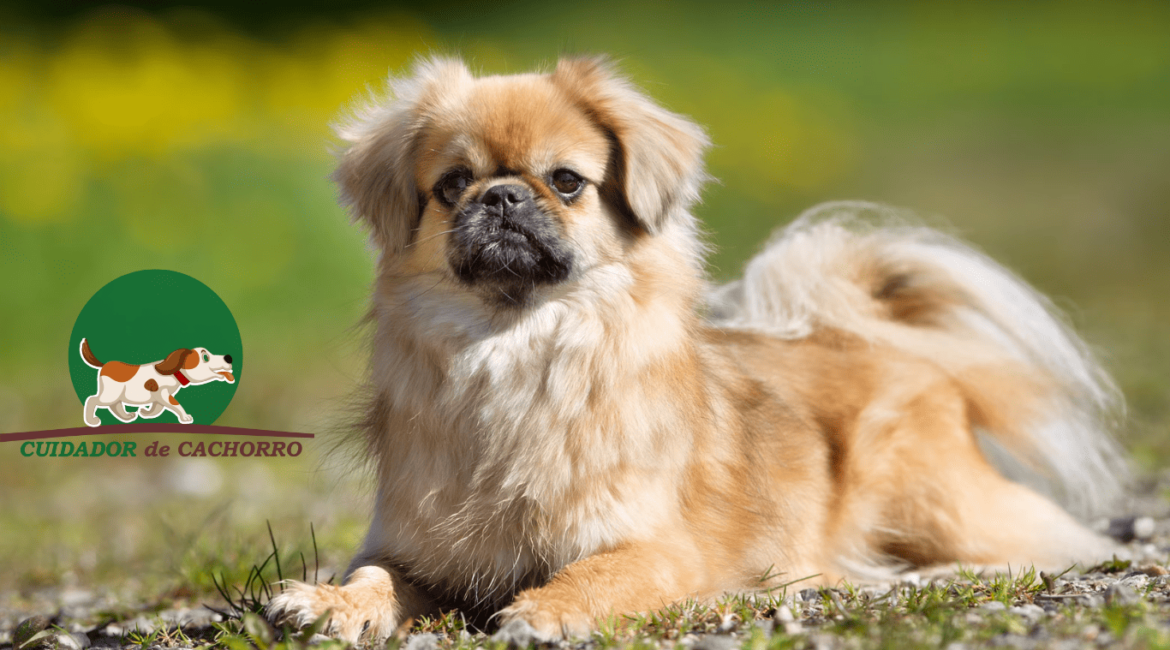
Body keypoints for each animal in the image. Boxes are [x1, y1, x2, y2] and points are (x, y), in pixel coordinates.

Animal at [78, 341, 233, 425]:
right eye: (205, 357)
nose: (229, 357)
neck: (175, 372)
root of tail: (105, 365)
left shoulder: (159, 397)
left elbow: (156, 408)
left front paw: (146, 413)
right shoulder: (163, 393)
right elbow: (176, 404)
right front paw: (185, 417)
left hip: (116, 393)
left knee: (115, 406)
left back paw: (126, 417)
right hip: (110, 393)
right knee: (93, 400)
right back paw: (92, 421)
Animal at [265, 58, 1123, 640]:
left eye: (566, 181)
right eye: (452, 186)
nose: (502, 196)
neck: (516, 350)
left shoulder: (654, 546)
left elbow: (596, 570)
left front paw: (546, 611)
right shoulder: (411, 548)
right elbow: (375, 577)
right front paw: (324, 603)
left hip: (934, 504)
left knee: (1039, 546)